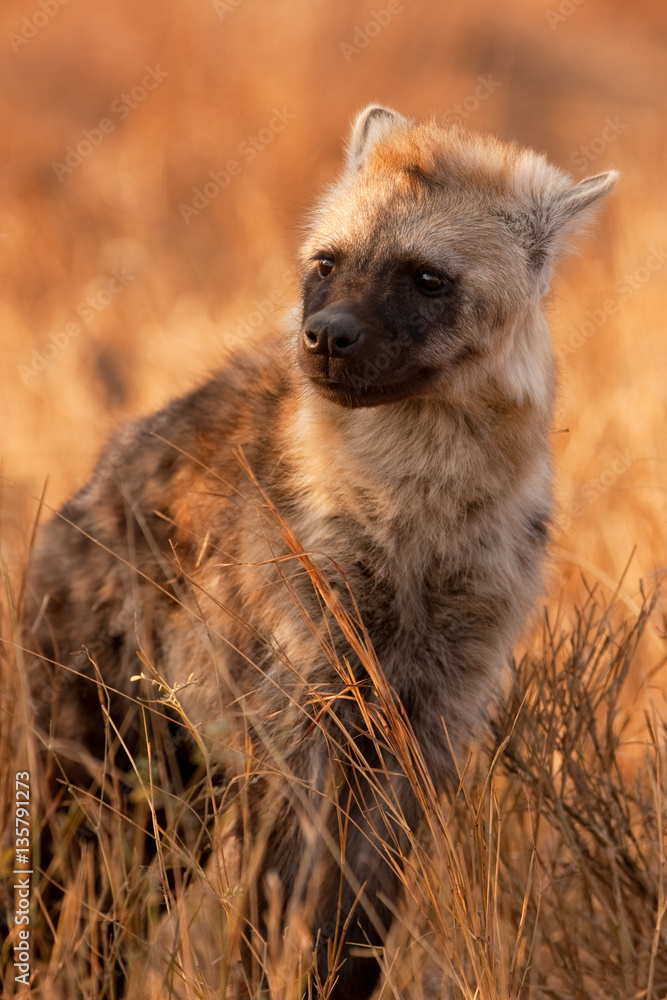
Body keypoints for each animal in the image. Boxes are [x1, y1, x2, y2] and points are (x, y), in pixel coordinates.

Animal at [25, 106, 616, 998]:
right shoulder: (300, 721)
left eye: (426, 279)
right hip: (95, 763)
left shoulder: (425, 732)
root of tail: (93, 485)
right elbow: (279, 909)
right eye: (326, 263)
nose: (327, 335)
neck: (413, 508)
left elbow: (360, 927)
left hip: (179, 801)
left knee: (112, 930)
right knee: (54, 893)